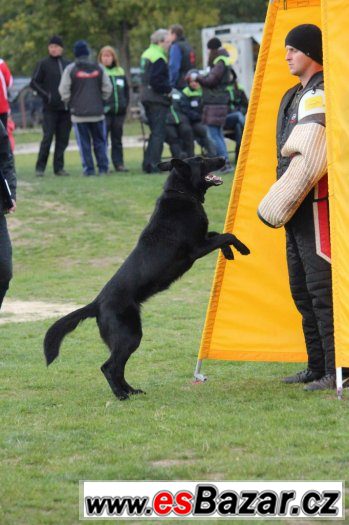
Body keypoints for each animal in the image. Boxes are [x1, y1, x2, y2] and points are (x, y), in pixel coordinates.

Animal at [43, 158, 249, 400]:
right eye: (201, 159)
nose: (224, 159)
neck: (181, 193)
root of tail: (96, 303)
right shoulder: (196, 249)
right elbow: (227, 235)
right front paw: (243, 249)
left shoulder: (204, 239)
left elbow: (219, 234)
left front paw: (230, 253)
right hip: (130, 335)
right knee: (109, 367)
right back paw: (121, 395)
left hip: (126, 338)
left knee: (118, 368)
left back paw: (131, 391)